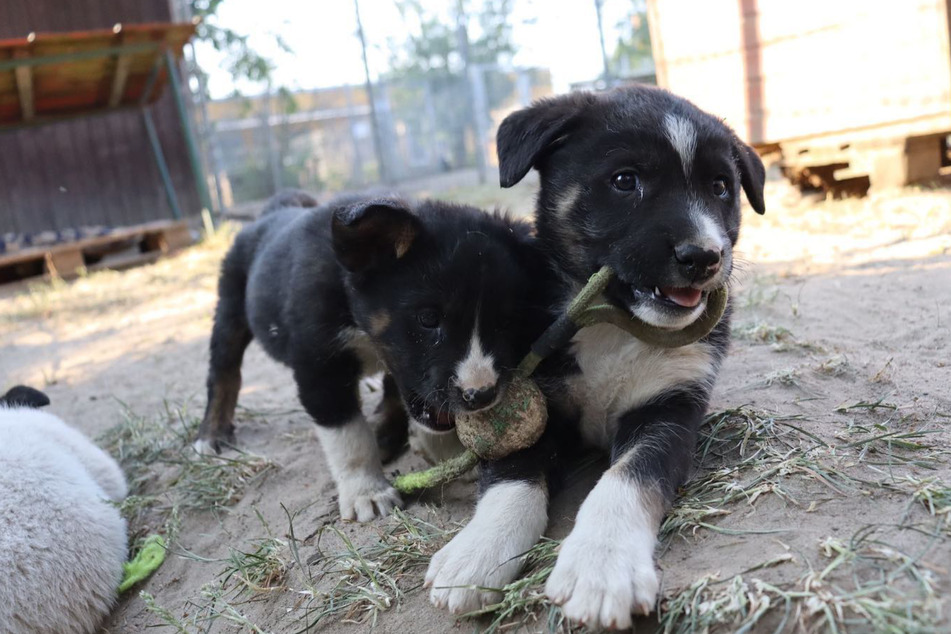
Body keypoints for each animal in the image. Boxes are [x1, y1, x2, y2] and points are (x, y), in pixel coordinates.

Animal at [194, 190, 556, 520]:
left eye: (506, 322)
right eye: (428, 319)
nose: (480, 395)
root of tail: (272, 211)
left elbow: (406, 399)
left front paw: (446, 452)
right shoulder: (318, 363)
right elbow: (348, 435)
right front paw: (366, 492)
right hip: (230, 308)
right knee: (223, 373)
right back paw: (210, 436)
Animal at [428, 85, 768, 628]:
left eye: (720, 187)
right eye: (625, 181)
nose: (704, 257)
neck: (617, 326)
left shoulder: (670, 407)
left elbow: (628, 477)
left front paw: (602, 565)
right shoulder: (530, 398)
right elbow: (512, 476)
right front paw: (477, 552)